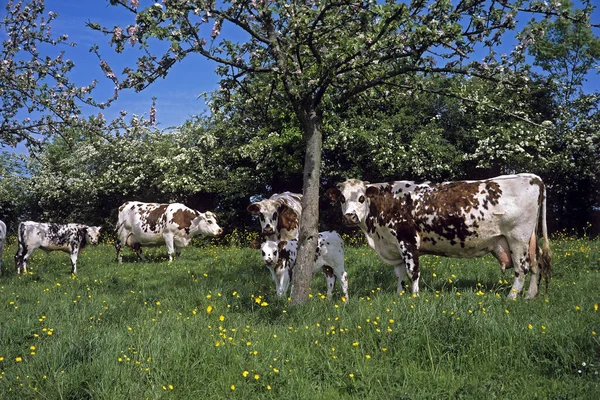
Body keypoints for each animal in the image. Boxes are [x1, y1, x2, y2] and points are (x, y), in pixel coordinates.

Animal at [328, 173, 552, 298]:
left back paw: (511, 298)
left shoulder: (407, 241)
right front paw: (399, 296)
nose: (349, 216)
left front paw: (414, 298)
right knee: (536, 264)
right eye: (341, 198)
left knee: (522, 269)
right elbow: (400, 275)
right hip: (530, 239)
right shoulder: (393, 246)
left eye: (361, 197)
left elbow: (412, 272)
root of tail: (532, 178)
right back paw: (529, 296)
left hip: (518, 238)